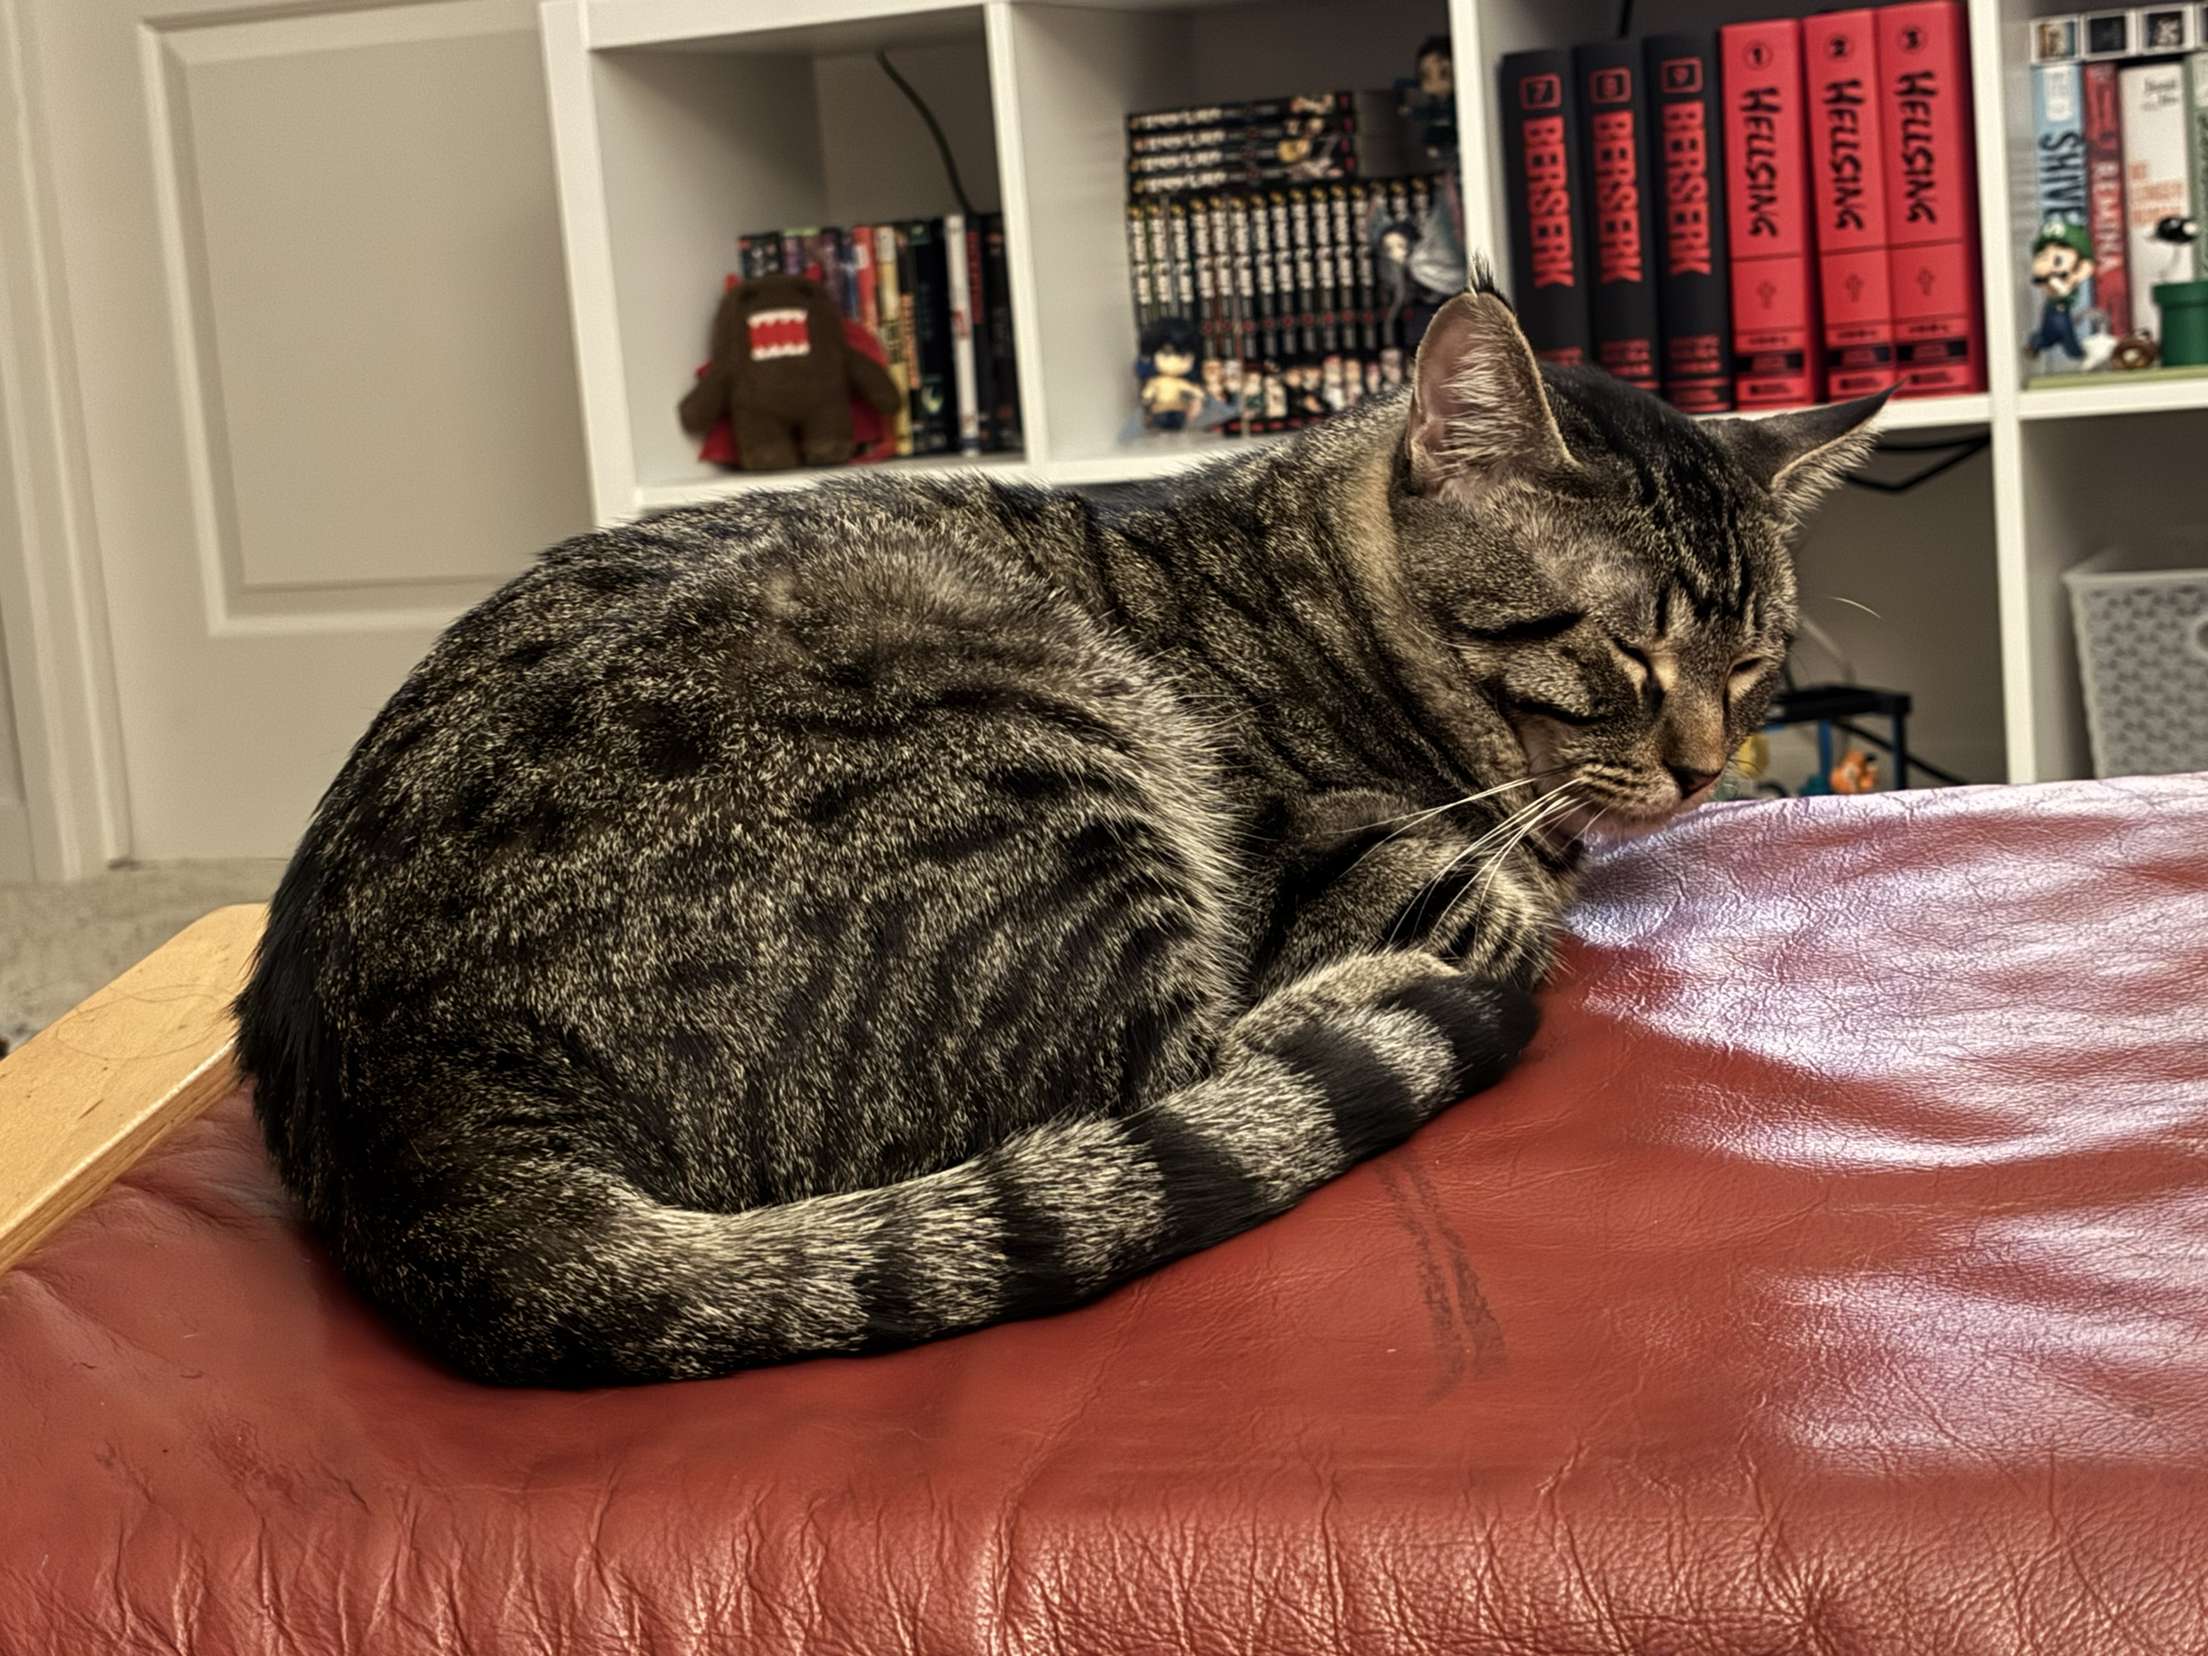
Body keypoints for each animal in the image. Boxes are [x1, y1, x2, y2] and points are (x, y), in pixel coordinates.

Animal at [237, 272, 1881, 1386]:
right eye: (1624, 649)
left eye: (1751, 661)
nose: (1707, 767)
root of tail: (404, 1117)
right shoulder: (1331, 846)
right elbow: (1489, 900)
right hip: (1031, 762)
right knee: (1178, 1066)